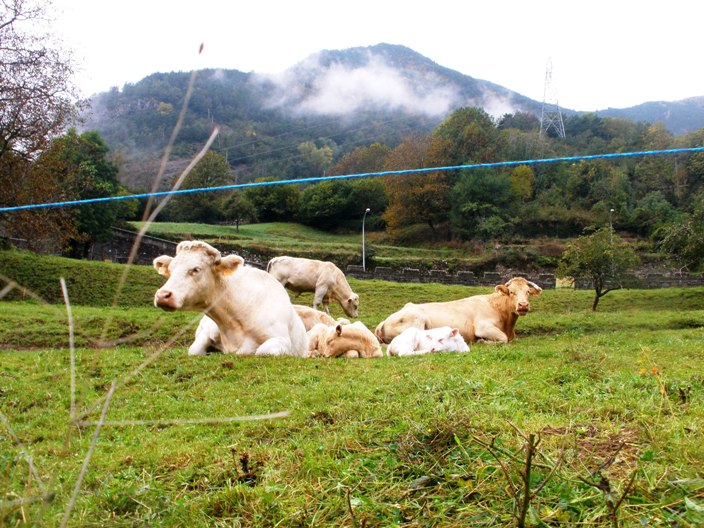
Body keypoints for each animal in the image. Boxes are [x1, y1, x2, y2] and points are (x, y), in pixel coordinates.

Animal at [153, 241, 306, 356]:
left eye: (196, 269)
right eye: (171, 269)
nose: (162, 295)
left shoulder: (282, 340)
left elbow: (262, 351)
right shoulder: (207, 333)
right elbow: (193, 350)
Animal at [376, 276, 540, 346]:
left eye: (527, 292)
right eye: (512, 292)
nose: (523, 305)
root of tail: (383, 322)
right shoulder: (483, 327)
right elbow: (503, 339)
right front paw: (482, 341)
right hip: (417, 320)